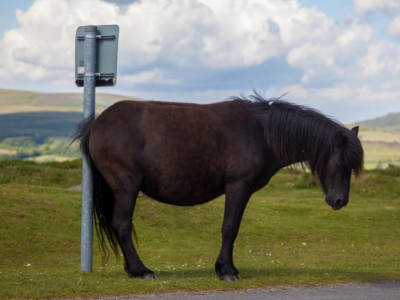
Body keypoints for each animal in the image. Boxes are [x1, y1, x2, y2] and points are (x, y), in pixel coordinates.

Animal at [74, 94, 362, 282]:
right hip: (126, 187)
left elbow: (233, 228)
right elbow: (229, 228)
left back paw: (132, 269)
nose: (340, 201)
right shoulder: (237, 187)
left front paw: (224, 267)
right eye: (341, 162)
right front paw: (227, 270)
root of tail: (97, 123)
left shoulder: (244, 191)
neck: (261, 133)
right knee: (122, 225)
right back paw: (141, 270)